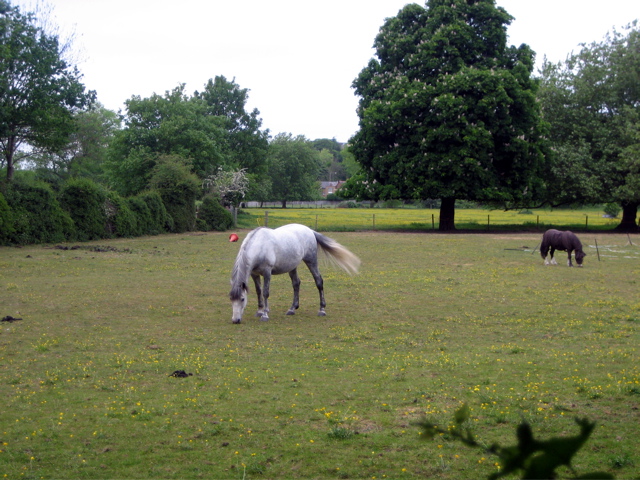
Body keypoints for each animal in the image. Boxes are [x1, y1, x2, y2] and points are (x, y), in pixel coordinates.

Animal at [229, 224, 361, 324]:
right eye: (231, 299)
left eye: (242, 299)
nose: (235, 320)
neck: (260, 245)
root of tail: (310, 231)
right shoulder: (254, 274)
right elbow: (258, 291)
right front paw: (260, 311)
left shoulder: (267, 272)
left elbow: (265, 292)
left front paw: (265, 315)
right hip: (292, 266)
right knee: (296, 284)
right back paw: (292, 309)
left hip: (311, 261)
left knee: (319, 281)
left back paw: (322, 310)